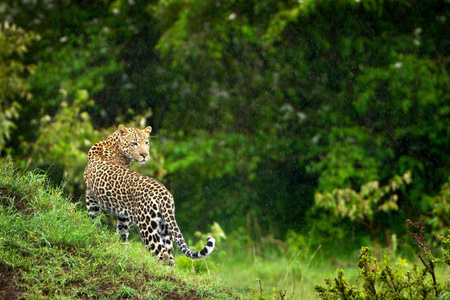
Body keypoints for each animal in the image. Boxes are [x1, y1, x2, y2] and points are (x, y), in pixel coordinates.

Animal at [83, 124, 216, 264]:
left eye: (146, 143)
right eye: (134, 143)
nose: (144, 154)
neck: (113, 143)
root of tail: (164, 193)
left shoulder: (90, 195)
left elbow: (94, 218)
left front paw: (95, 233)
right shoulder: (124, 213)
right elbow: (122, 232)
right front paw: (120, 246)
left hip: (147, 227)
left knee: (161, 254)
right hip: (165, 227)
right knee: (170, 255)